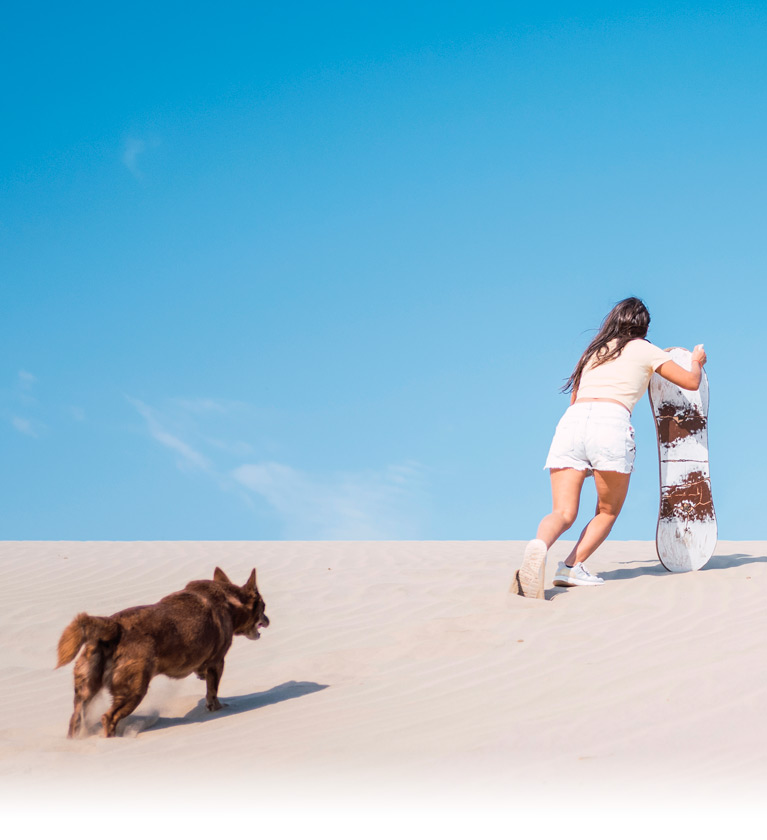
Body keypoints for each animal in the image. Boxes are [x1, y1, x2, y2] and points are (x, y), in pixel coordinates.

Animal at [57, 568, 268, 740]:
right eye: (263, 607)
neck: (228, 600)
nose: (268, 620)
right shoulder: (217, 663)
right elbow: (213, 692)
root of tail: (114, 626)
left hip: (85, 690)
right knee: (109, 717)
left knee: (75, 719)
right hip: (134, 690)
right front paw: (218, 709)